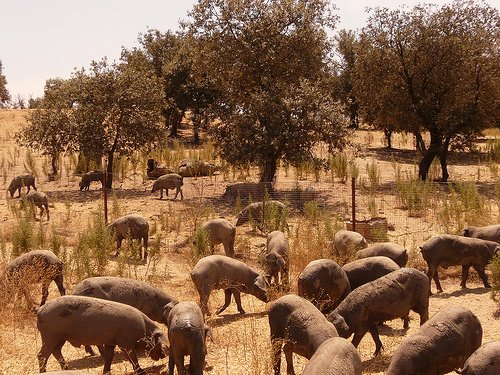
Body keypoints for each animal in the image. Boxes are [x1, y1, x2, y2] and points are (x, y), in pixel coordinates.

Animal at [36, 296, 168, 375]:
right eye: (157, 342)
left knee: (56, 351)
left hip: (61, 337)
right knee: (42, 354)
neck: (143, 329)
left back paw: (67, 369)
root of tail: (39, 310)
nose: (164, 354)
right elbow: (132, 357)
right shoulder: (125, 343)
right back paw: (44, 372)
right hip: (50, 334)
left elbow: (109, 357)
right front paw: (141, 372)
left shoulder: (111, 342)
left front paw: (107, 372)